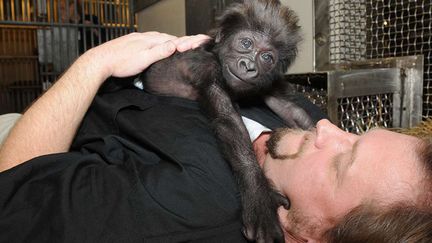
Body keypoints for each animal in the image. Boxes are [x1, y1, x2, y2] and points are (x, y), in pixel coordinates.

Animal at [139, 0, 310, 242]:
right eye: (246, 43)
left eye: (267, 57)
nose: (249, 66)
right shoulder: (207, 68)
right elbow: (228, 123)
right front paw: (259, 199)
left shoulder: (268, 81)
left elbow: (289, 109)